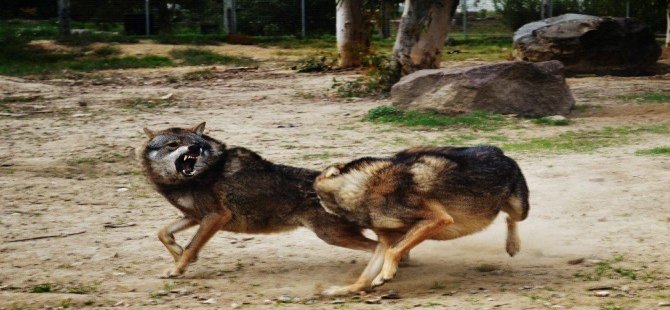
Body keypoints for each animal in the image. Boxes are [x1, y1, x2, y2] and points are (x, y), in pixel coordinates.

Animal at [314, 146, 532, 296]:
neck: (363, 187)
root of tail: (500, 152)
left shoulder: (438, 219)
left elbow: (394, 252)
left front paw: (385, 275)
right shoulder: (385, 240)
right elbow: (365, 276)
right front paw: (342, 290)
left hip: (519, 208)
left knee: (511, 219)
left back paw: (513, 245)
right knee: (508, 218)